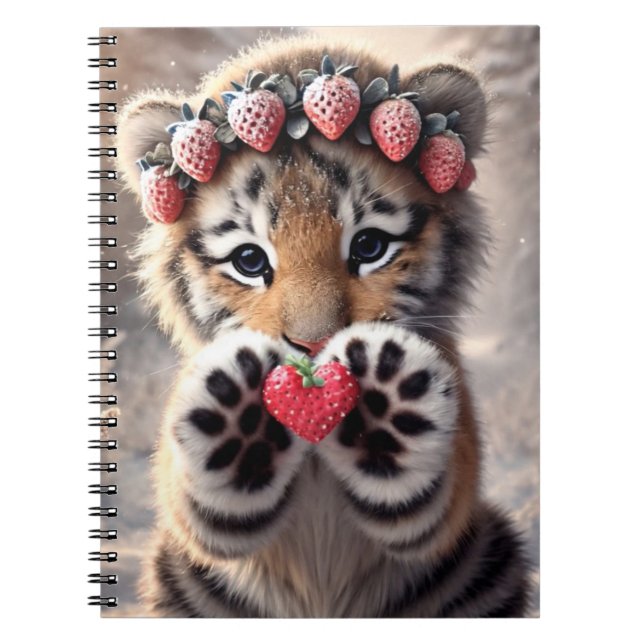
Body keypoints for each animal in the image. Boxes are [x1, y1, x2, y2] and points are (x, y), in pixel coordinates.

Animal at [116, 35, 531, 617]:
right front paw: (234, 412)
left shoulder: (448, 499)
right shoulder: (199, 531)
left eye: (369, 247)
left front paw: (393, 391)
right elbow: (200, 512)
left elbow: (429, 505)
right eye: (249, 261)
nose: (312, 346)